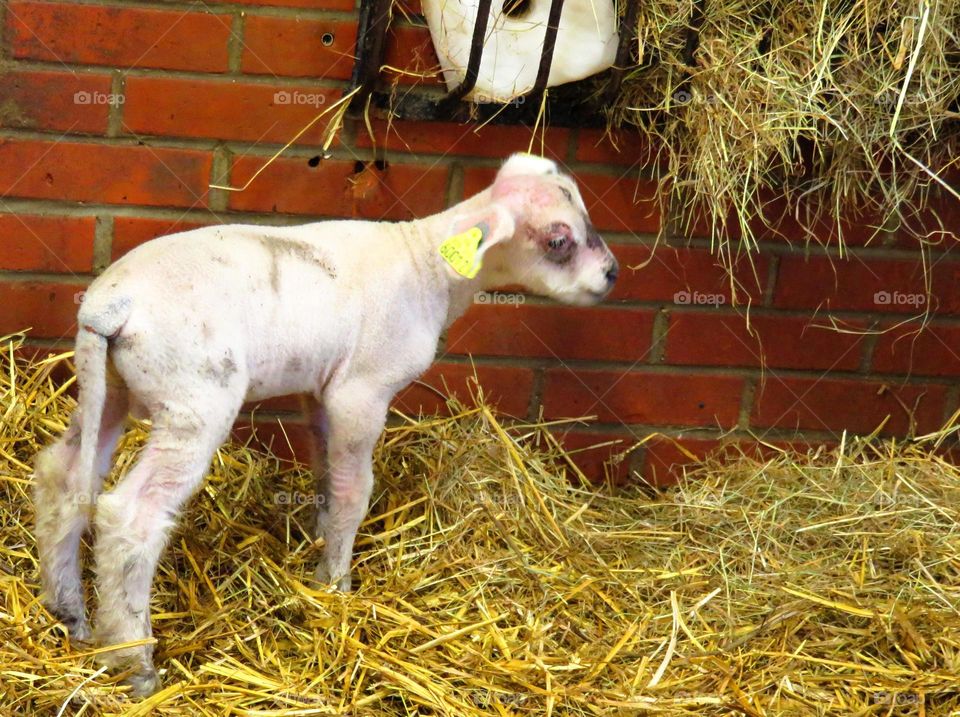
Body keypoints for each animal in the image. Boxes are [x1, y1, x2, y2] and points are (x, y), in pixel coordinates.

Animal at [33, 152, 619, 695]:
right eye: (559, 239)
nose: (612, 274)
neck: (430, 266)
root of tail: (112, 305)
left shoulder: (320, 391)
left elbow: (325, 472)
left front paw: (318, 537)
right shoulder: (361, 392)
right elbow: (355, 489)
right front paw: (335, 582)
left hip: (108, 388)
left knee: (62, 477)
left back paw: (70, 614)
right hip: (195, 399)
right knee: (131, 516)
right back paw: (135, 663)